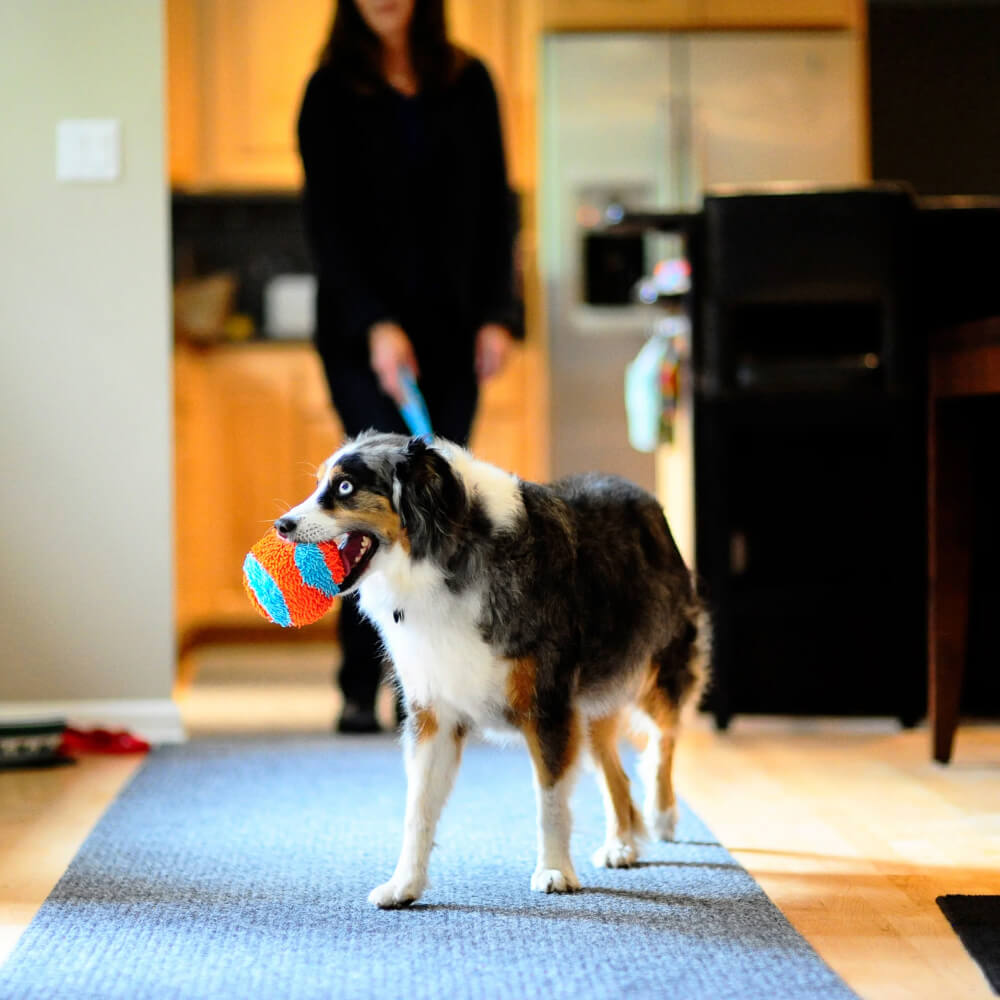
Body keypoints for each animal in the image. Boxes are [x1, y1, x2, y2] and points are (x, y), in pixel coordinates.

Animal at [276, 430, 712, 908]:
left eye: (345, 487)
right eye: (320, 482)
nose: (281, 525)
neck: (445, 560)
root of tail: (641, 496)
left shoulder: (549, 705)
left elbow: (550, 800)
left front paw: (555, 870)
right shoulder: (434, 712)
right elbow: (418, 808)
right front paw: (404, 884)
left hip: (657, 671)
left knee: (663, 739)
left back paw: (662, 814)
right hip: (592, 703)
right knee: (617, 772)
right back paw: (620, 844)